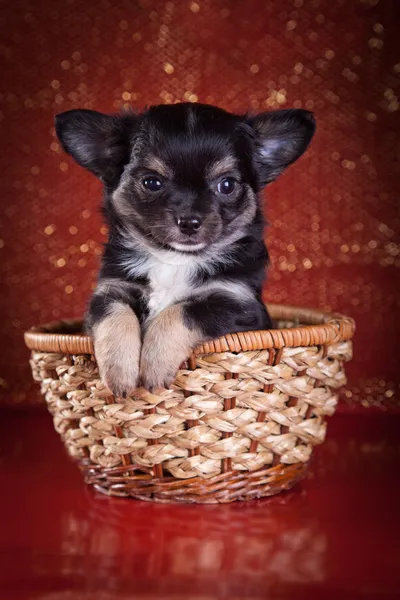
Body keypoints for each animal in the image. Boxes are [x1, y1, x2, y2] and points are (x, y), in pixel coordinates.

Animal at [54, 102, 316, 396]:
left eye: (227, 185)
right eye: (151, 182)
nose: (189, 222)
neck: (174, 259)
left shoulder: (236, 302)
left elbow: (181, 312)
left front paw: (154, 367)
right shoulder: (111, 290)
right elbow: (115, 318)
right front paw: (119, 374)